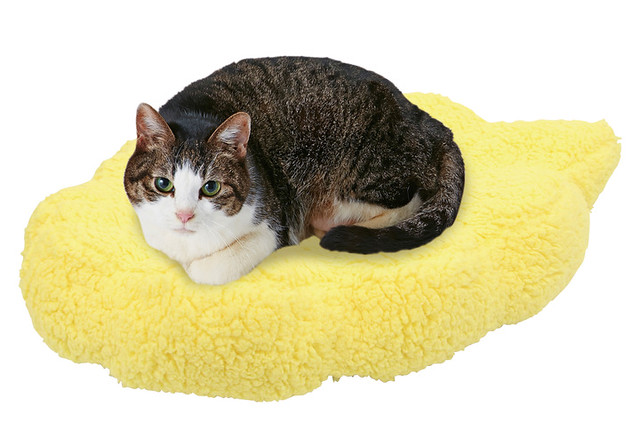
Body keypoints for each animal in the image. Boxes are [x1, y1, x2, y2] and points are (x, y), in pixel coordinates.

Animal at [124, 57, 465, 285]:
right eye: (163, 184)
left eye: (210, 188)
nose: (183, 215)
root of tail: (428, 121)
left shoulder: (272, 225)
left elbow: (209, 271)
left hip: (367, 168)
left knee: (410, 197)